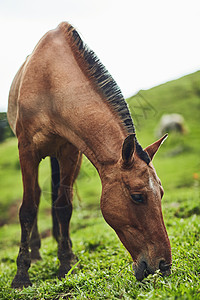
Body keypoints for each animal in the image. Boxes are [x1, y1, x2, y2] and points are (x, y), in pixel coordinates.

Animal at [7, 21, 171, 288]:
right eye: (137, 197)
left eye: (162, 193)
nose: (164, 265)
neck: (50, 82)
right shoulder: (27, 150)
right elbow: (28, 209)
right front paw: (21, 275)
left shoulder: (70, 151)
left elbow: (64, 205)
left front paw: (66, 262)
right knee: (38, 196)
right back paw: (36, 252)